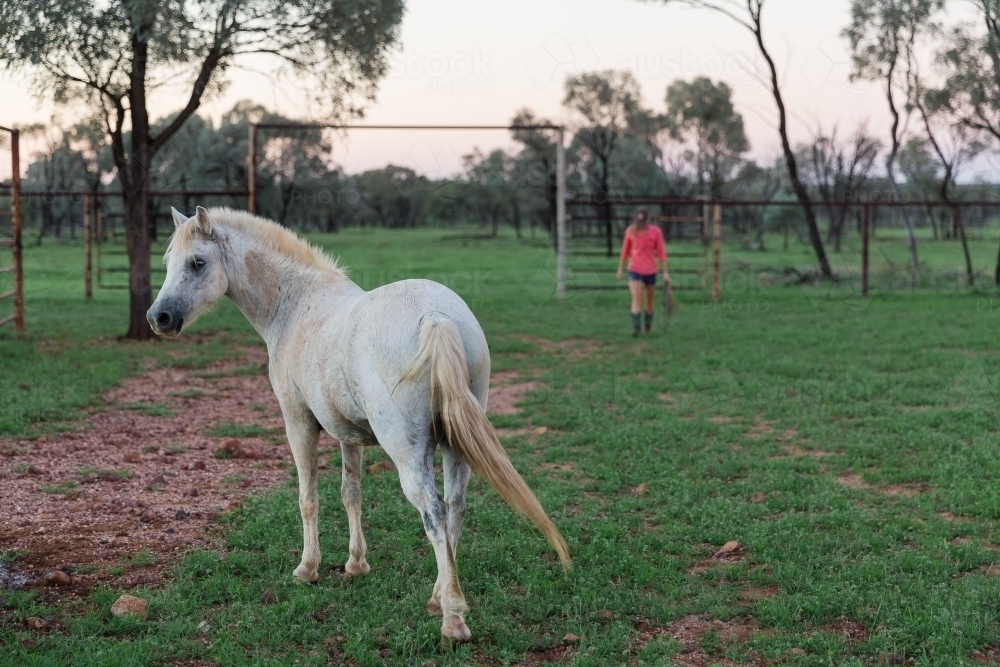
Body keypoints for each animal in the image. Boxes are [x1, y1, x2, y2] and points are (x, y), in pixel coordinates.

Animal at [147, 206, 570, 641]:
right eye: (168, 262)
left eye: (197, 263)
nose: (159, 317)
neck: (297, 306)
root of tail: (436, 318)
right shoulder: (346, 434)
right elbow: (351, 494)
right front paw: (355, 564)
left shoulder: (298, 424)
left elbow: (308, 498)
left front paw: (307, 569)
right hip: (456, 447)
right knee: (455, 508)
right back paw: (437, 596)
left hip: (409, 454)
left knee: (434, 514)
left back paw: (452, 617)